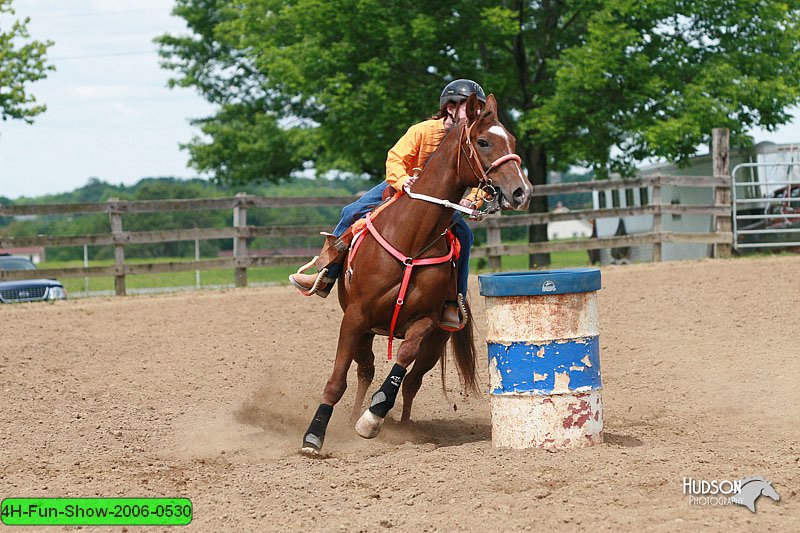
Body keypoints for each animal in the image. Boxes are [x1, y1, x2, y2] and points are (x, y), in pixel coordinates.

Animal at [300, 93, 532, 450]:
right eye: (483, 142)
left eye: (512, 140)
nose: (522, 191)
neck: (412, 239)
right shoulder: (355, 317)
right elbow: (337, 380)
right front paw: (314, 435)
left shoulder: (425, 322)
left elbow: (404, 360)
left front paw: (373, 418)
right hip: (366, 329)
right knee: (365, 371)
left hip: (435, 343)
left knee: (411, 381)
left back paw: (404, 427)